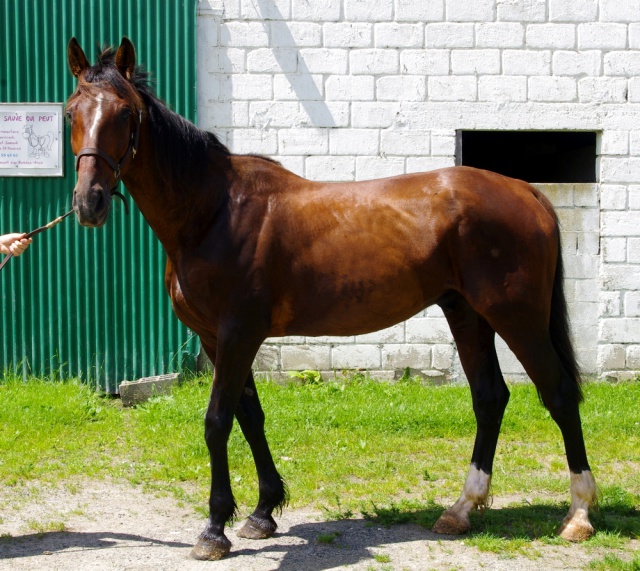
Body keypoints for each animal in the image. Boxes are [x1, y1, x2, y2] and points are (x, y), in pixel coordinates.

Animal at [67, 38, 596, 560]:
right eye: (72, 111)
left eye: (125, 113)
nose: (89, 203)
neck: (213, 211)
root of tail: (526, 191)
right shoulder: (217, 339)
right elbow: (249, 416)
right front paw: (263, 513)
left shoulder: (238, 334)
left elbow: (217, 421)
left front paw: (215, 529)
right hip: (467, 314)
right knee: (490, 398)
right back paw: (461, 509)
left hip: (516, 316)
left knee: (559, 394)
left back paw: (578, 515)